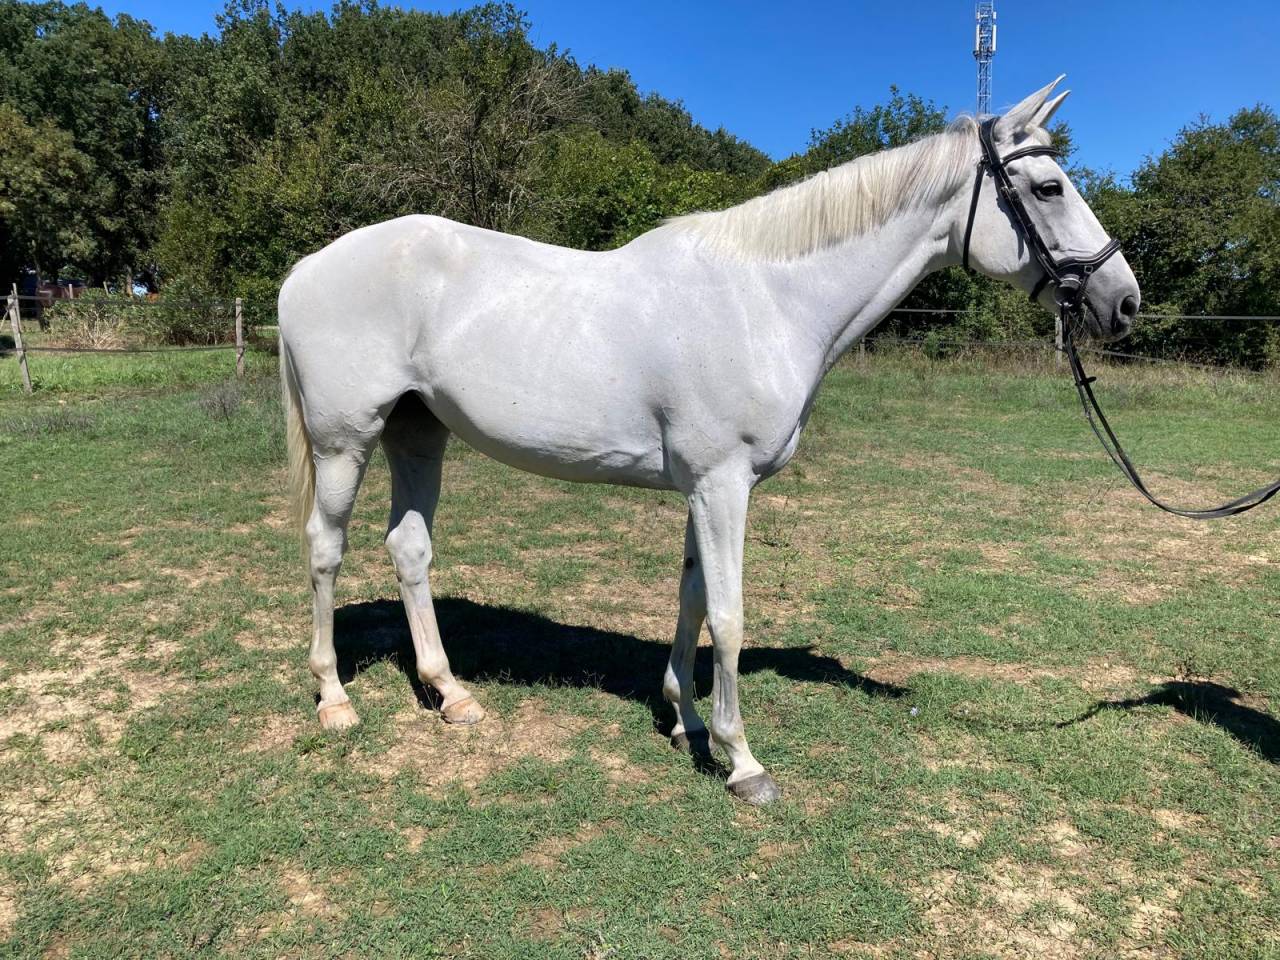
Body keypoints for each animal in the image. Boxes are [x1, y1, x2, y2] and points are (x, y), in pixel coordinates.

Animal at [278, 78, 1140, 805]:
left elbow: (692, 597)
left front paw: (684, 717)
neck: (767, 298)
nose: (1123, 300)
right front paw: (742, 759)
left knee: (410, 548)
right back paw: (334, 701)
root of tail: (307, 268)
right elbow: (728, 615)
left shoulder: (704, 486)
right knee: (324, 549)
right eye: (1048, 187)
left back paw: (452, 695)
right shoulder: (723, 484)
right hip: (345, 442)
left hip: (418, 434)